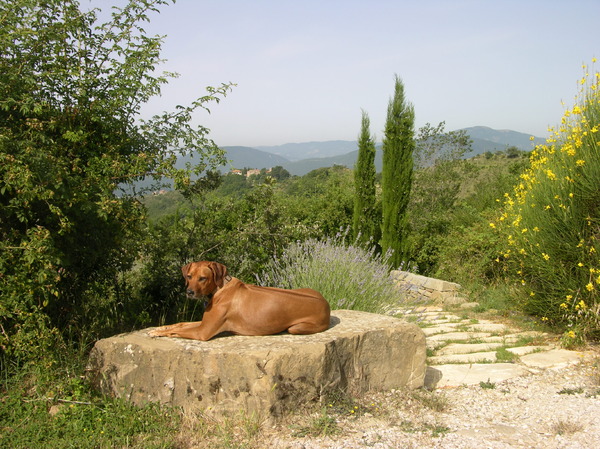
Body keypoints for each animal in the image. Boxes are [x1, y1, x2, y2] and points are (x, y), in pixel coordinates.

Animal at [148, 260, 330, 340]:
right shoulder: (204, 323)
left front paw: (160, 333)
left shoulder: (202, 332)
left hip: (296, 328)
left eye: (203, 278)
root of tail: (326, 303)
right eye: (189, 276)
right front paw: (158, 328)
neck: (220, 288)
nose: (189, 292)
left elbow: (179, 330)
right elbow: (180, 324)